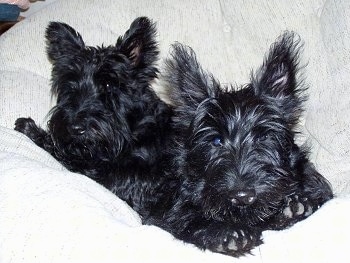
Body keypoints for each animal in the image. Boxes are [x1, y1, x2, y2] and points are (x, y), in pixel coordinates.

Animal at [14, 18, 173, 217]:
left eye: (108, 85)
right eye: (70, 85)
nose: (75, 128)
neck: (135, 129)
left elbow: (72, 159)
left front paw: (30, 129)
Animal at [143, 33, 334, 258]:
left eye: (264, 137)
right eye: (216, 141)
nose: (242, 196)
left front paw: (295, 207)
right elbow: (185, 217)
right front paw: (228, 234)